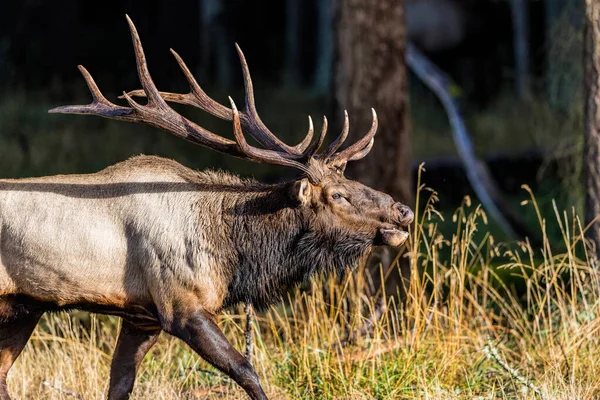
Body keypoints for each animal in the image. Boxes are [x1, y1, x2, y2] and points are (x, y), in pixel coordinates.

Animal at [0, 15, 412, 400]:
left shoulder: (143, 317)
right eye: (337, 195)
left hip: (23, 307)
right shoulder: (183, 305)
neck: (231, 252)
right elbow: (246, 370)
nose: (402, 211)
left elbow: (120, 385)